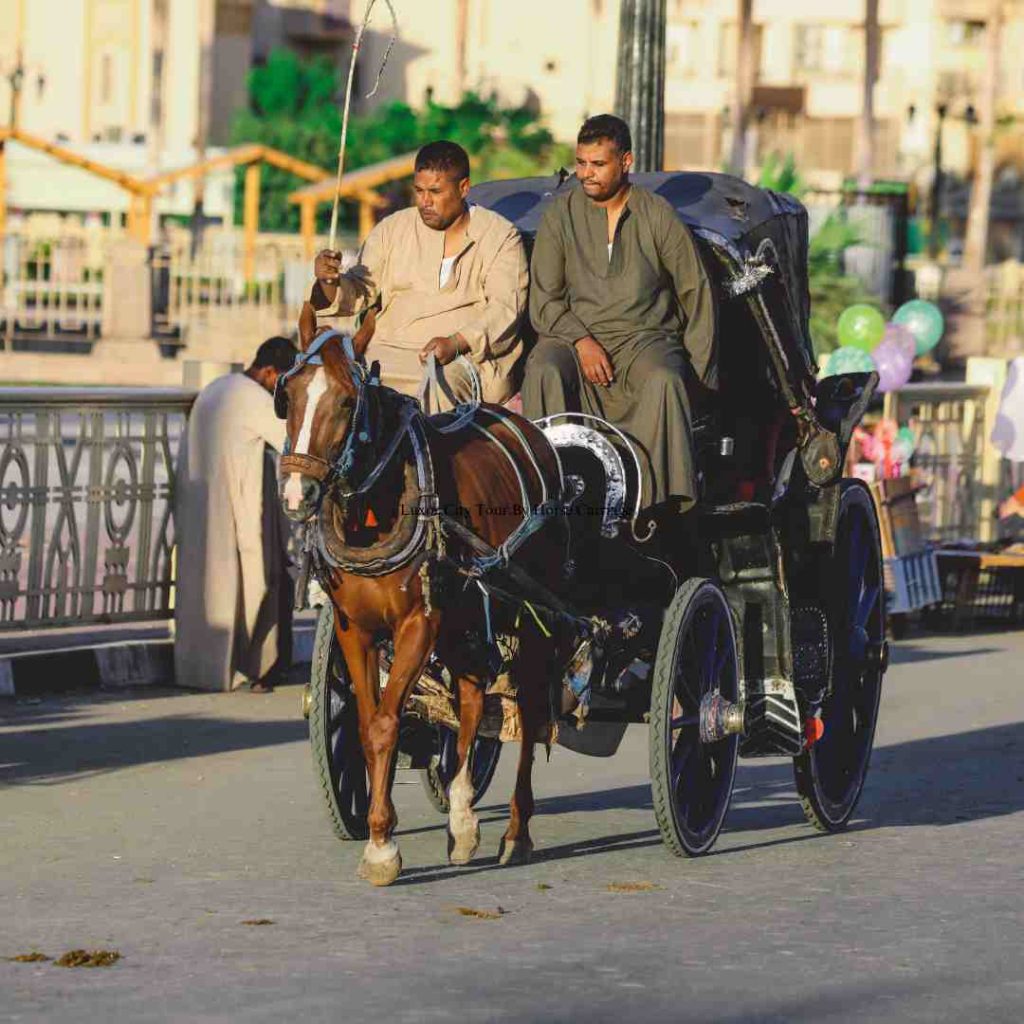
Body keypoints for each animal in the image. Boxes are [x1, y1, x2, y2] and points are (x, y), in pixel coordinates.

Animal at [280, 307, 565, 884]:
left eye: (347, 402)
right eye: (289, 393)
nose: (298, 493)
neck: (376, 507)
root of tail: (534, 433)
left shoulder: (418, 623)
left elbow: (387, 723)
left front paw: (381, 848)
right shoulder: (356, 629)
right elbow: (366, 724)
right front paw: (380, 833)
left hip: (525, 614)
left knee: (528, 707)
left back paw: (516, 832)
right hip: (462, 615)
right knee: (473, 698)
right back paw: (462, 816)